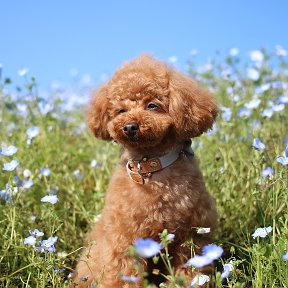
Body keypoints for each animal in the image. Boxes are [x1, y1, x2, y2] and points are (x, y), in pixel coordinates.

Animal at [72, 54, 218, 288]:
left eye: (152, 105)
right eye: (121, 111)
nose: (130, 127)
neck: (150, 167)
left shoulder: (190, 236)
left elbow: (188, 271)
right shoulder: (124, 239)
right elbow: (122, 274)